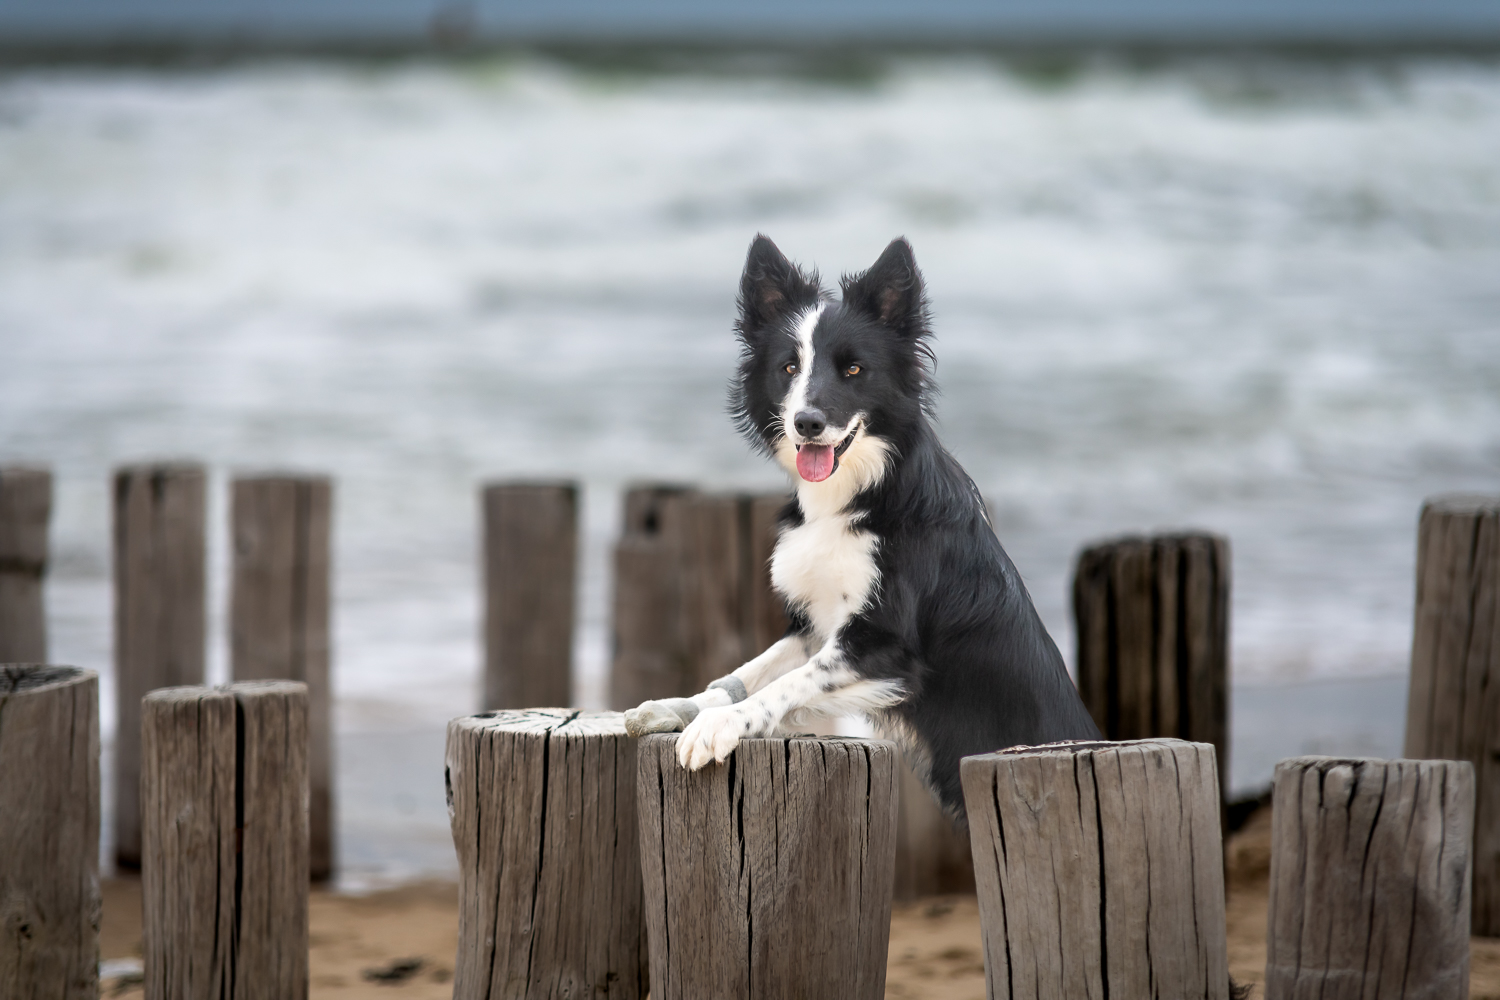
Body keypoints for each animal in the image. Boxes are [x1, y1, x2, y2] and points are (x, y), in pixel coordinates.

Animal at [621, 236, 1104, 821]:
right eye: (789, 367)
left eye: (853, 370)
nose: (807, 422)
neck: (856, 495)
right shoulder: (818, 623)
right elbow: (751, 670)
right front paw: (684, 707)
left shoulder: (885, 647)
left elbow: (788, 683)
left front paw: (719, 725)